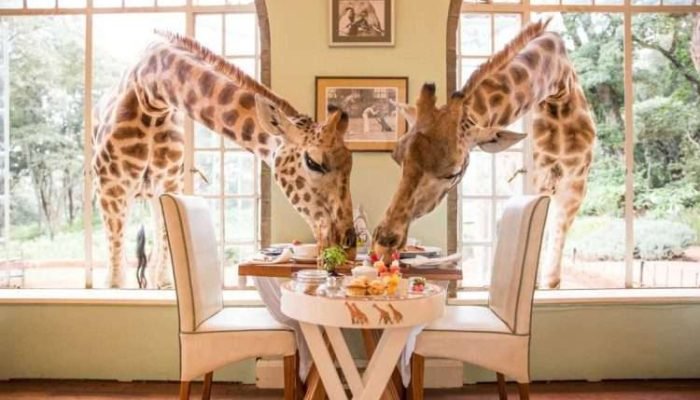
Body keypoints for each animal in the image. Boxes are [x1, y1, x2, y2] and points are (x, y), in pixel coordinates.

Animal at [93, 32, 356, 288]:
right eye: (313, 162)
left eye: (350, 163)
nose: (349, 245)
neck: (152, 95)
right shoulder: (111, 185)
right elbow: (115, 277)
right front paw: (114, 283)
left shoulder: (169, 182)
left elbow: (164, 238)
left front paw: (163, 282)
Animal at [373, 19, 596, 289]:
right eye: (397, 157)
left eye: (454, 172)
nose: (384, 243)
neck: (558, 88)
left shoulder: (573, 184)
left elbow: (552, 277)